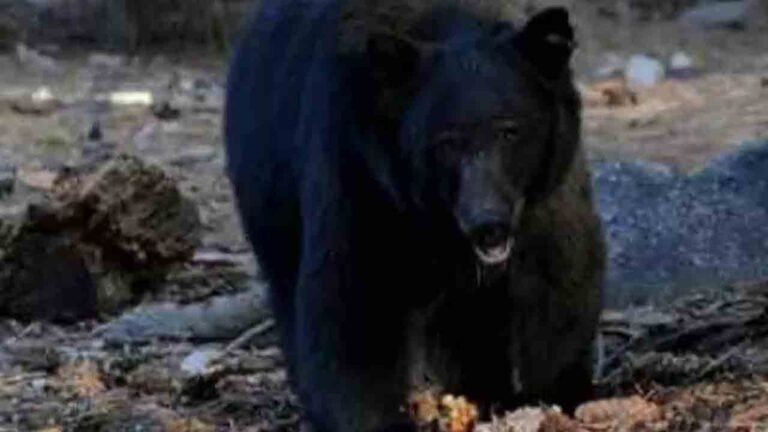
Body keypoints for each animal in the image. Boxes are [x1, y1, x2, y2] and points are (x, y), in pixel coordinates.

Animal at [224, 1, 605, 431]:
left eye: (510, 131)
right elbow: (351, 307)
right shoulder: (359, 174)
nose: (487, 224)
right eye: (447, 143)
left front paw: (557, 396)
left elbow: (559, 284)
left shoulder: (546, 197)